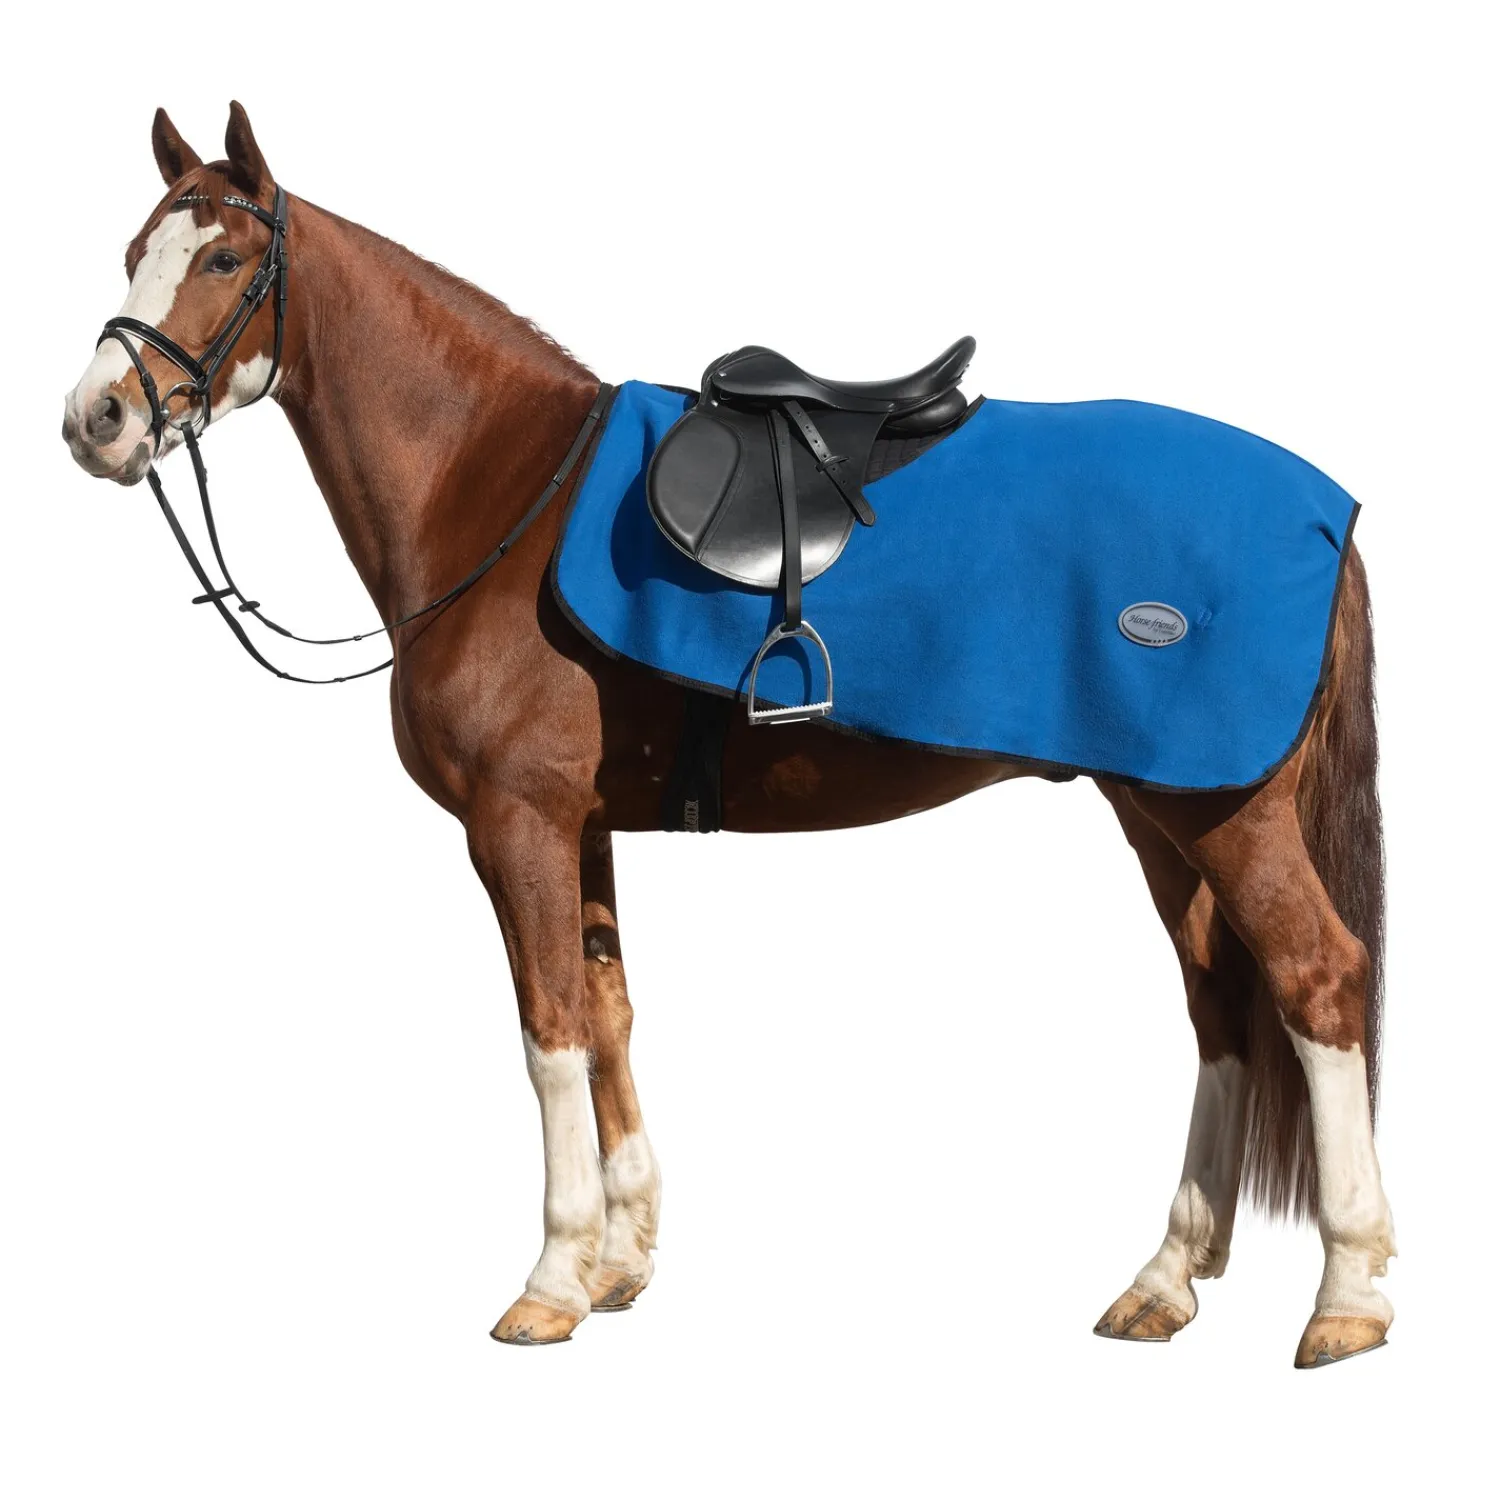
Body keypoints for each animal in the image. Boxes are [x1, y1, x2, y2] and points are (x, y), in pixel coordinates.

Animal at [61, 103, 1395, 1367]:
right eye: (134, 252)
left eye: (225, 257)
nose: (96, 419)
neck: (503, 490)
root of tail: (1327, 513)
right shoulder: (582, 827)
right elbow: (607, 1018)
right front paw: (618, 1262)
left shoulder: (516, 822)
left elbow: (549, 1031)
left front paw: (550, 1282)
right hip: (1160, 811)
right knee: (1221, 1007)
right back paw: (1165, 1281)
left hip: (1221, 815)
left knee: (1318, 982)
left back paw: (1348, 1296)